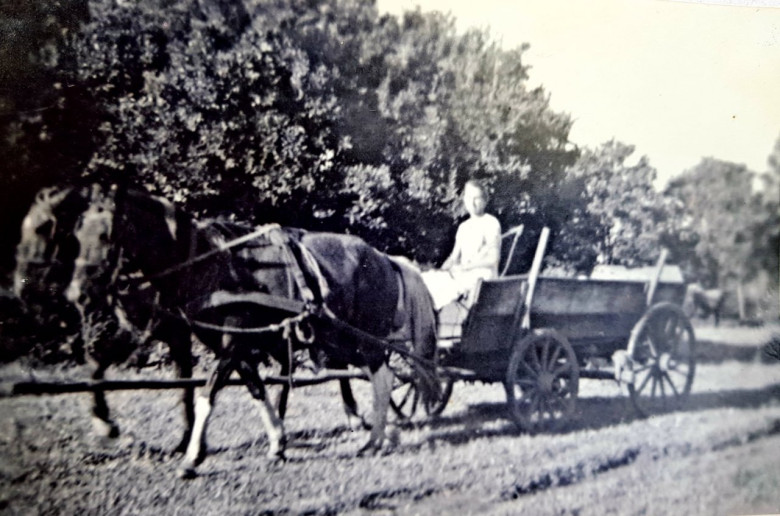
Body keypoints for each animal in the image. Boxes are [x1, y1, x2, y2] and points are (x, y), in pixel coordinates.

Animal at [14, 183, 197, 450]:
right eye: (78, 235)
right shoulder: (137, 329)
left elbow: (185, 382)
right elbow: (97, 362)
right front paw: (103, 422)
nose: (21, 288)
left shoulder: (169, 332)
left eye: (43, 227)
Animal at [65, 183, 438, 478]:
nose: (76, 293)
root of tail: (386, 259)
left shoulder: (232, 342)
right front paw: (277, 443)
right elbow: (257, 390)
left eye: (105, 235)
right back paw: (377, 433)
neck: (208, 264)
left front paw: (192, 458)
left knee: (383, 377)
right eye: (76, 234)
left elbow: (207, 395)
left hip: (363, 339)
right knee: (372, 375)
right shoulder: (231, 346)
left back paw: (375, 439)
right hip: (339, 340)